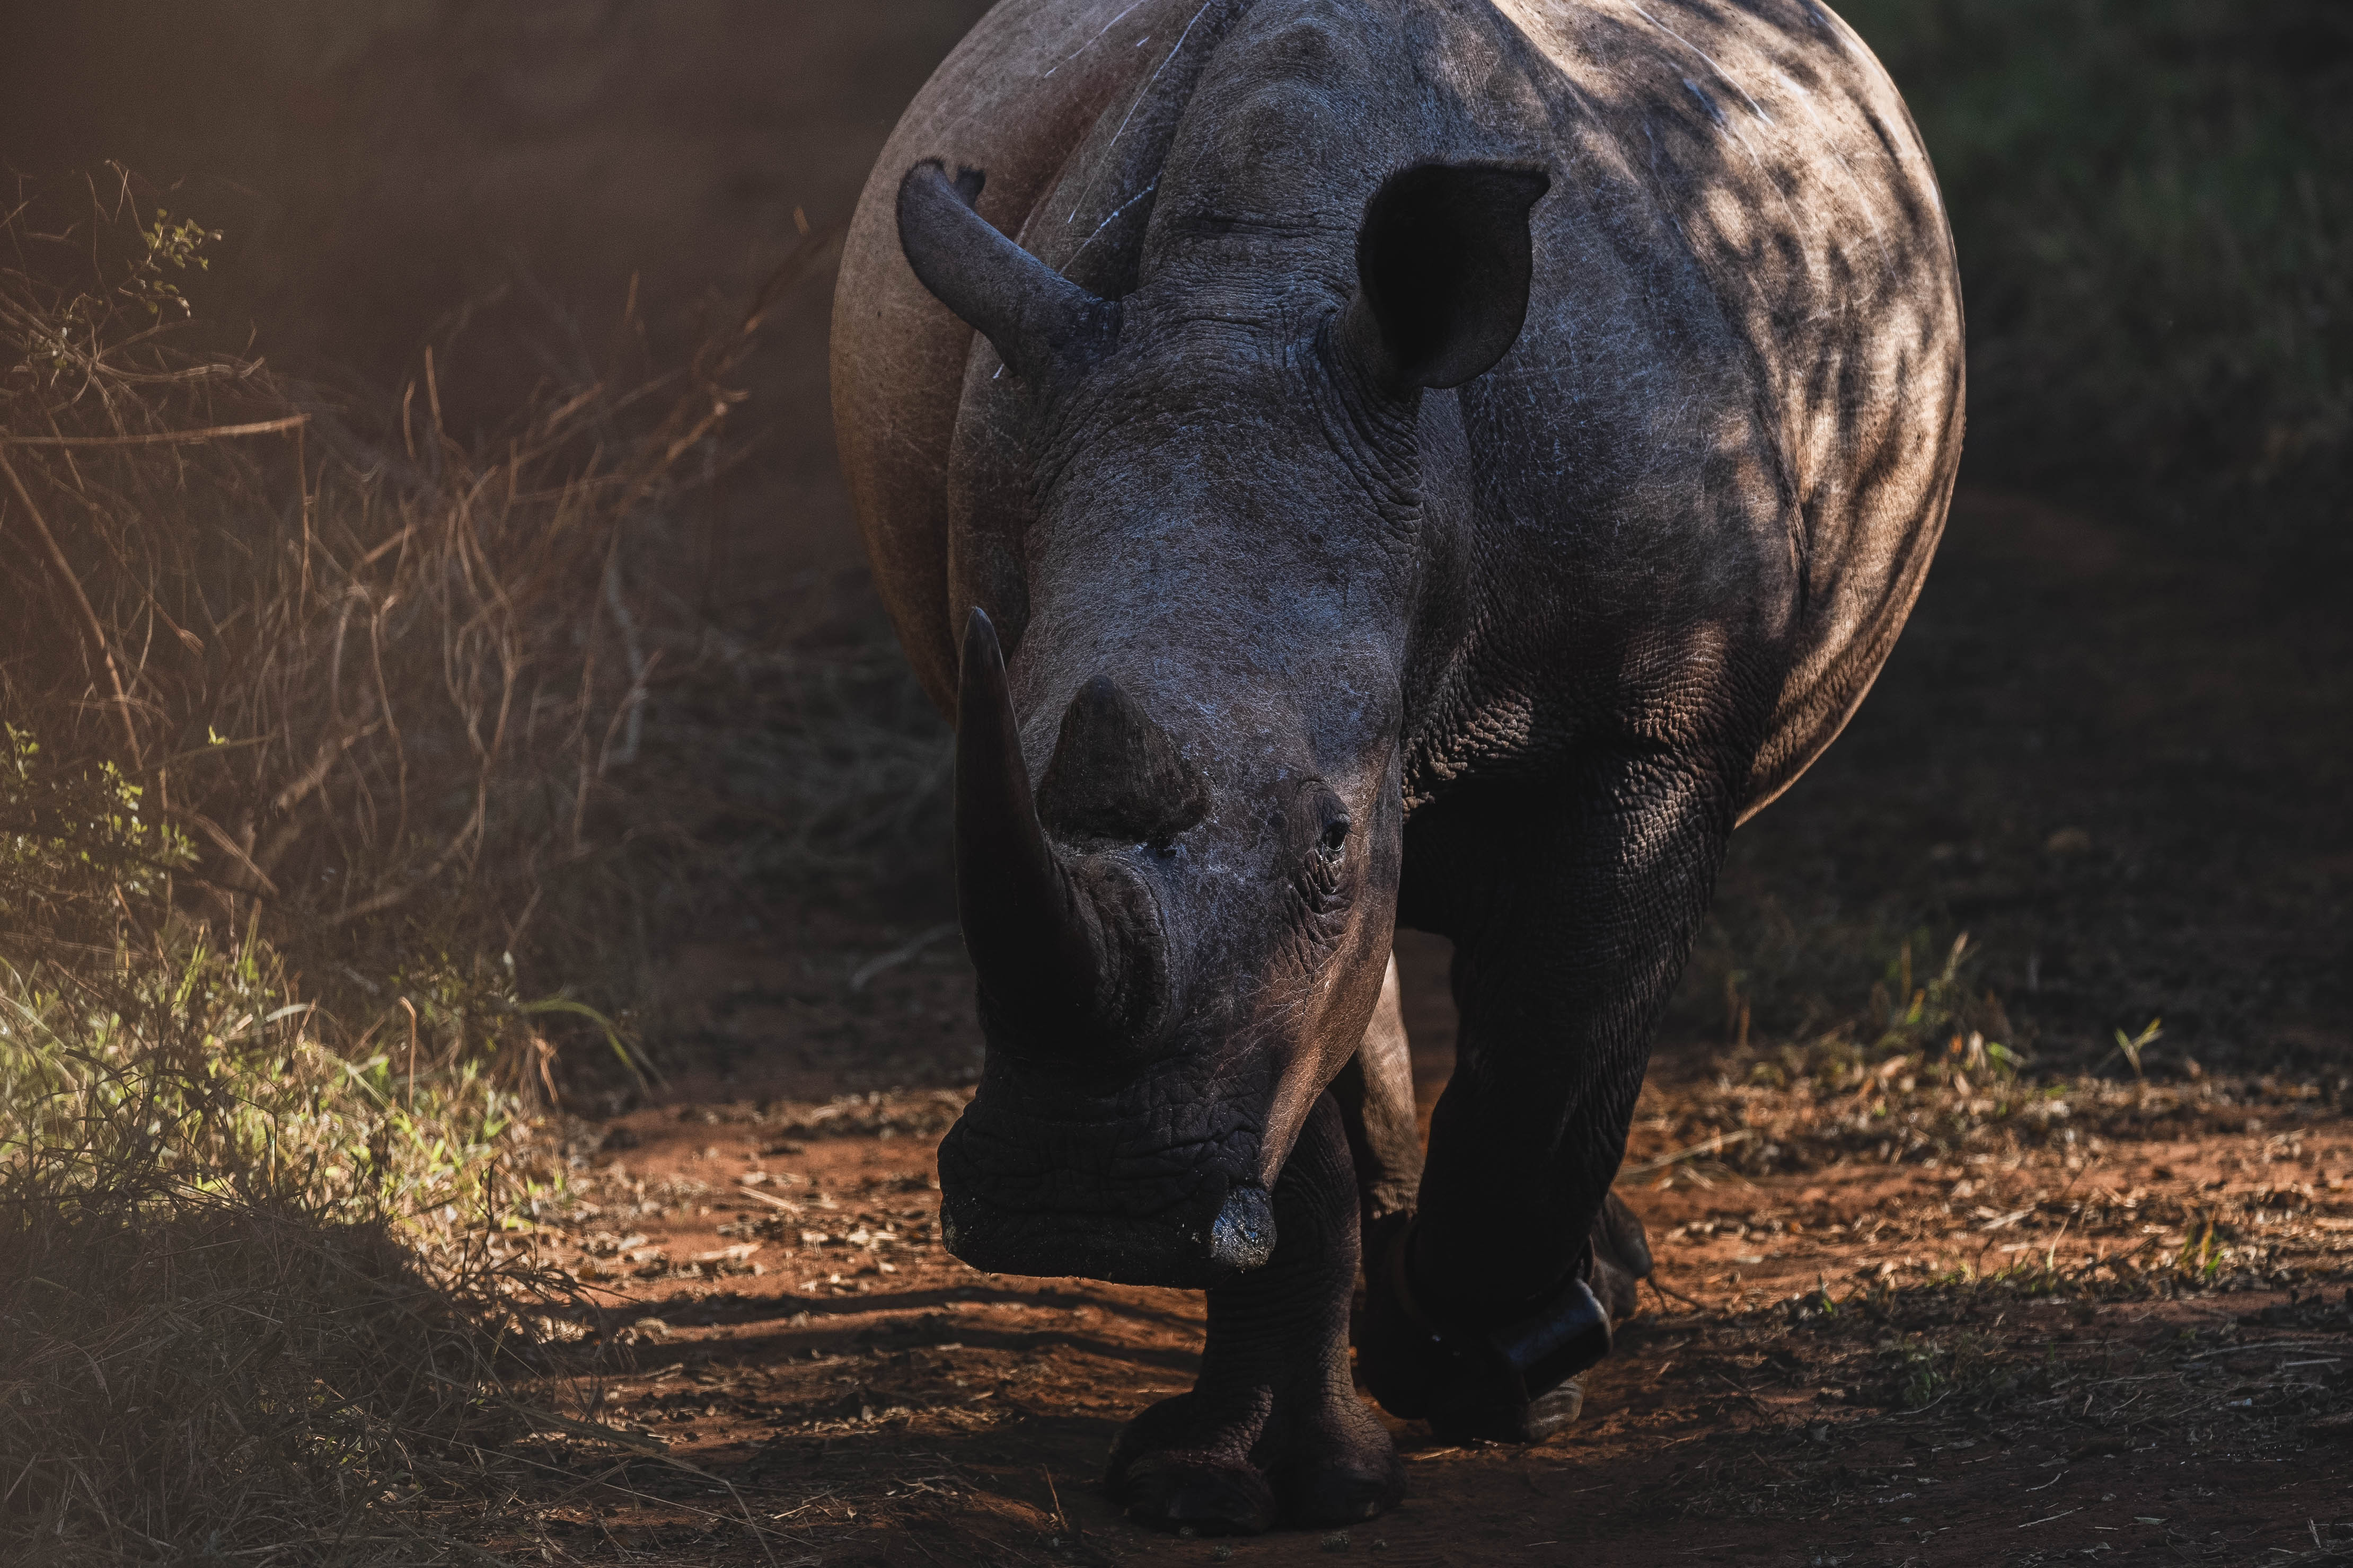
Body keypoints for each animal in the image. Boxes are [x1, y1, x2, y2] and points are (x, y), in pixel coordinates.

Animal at [830, 0, 1959, 1534]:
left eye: (1330, 833)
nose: (1074, 1204)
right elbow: (1297, 1093)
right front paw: (1239, 1477)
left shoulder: (1649, 720)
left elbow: (1553, 1048)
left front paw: (1501, 1349)